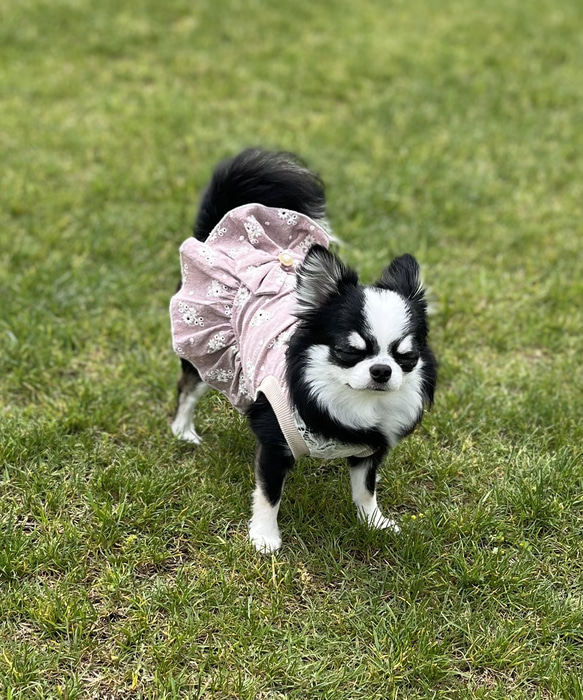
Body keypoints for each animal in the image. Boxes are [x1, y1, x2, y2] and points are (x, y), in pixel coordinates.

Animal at [171, 149, 436, 552]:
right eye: (348, 351)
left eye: (405, 357)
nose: (381, 370)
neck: (355, 404)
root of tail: (219, 232)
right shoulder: (274, 444)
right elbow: (269, 494)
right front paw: (265, 538)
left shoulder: (371, 450)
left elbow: (366, 489)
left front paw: (374, 523)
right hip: (207, 352)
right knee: (187, 389)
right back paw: (183, 432)